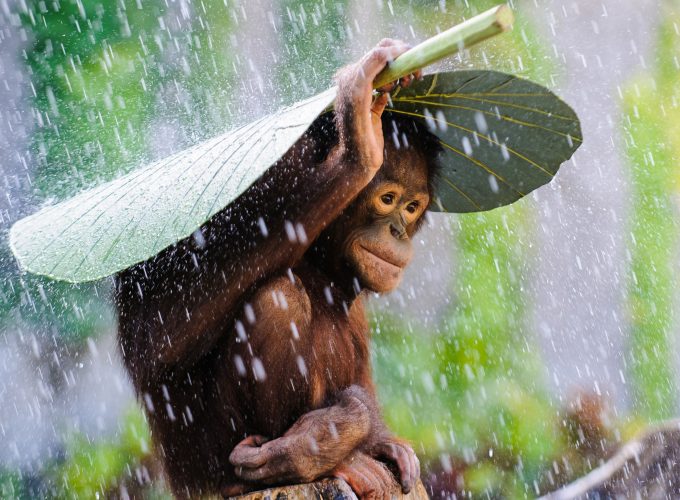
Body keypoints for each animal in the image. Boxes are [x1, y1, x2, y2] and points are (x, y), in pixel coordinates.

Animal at [115, 39, 442, 499]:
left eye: (412, 206)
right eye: (387, 198)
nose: (398, 229)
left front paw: (374, 438)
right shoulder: (259, 179)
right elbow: (154, 338)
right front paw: (358, 142)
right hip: (214, 463)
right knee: (277, 297)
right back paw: (315, 460)